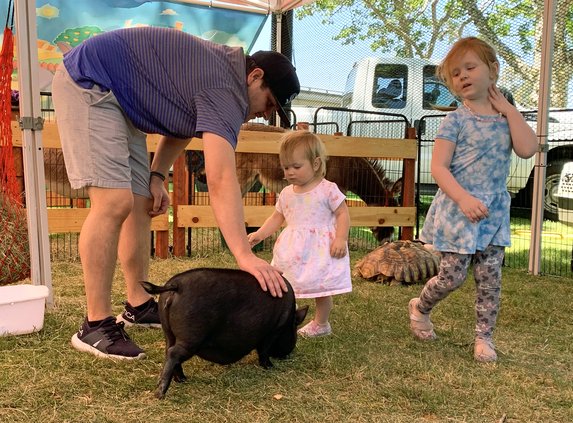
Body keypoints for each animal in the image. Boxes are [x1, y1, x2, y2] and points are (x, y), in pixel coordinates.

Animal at [141, 268, 306, 400]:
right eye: (294, 334)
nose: (288, 355)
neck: (289, 318)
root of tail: (176, 285)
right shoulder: (273, 330)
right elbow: (264, 351)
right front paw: (270, 367)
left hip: (168, 332)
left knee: (168, 351)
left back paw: (182, 379)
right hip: (191, 337)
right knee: (173, 354)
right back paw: (160, 394)